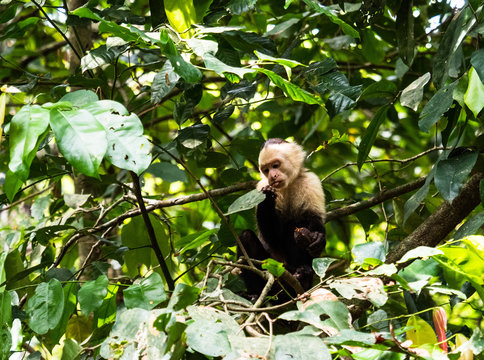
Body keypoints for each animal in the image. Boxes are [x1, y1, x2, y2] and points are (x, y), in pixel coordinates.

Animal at [237, 138, 326, 298]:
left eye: (275, 165)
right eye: (266, 170)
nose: (272, 176)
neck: (288, 185)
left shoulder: (311, 181)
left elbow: (314, 218)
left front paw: (318, 237)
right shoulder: (261, 186)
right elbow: (272, 238)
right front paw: (267, 199)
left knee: (295, 226)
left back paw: (303, 275)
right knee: (246, 238)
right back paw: (254, 294)